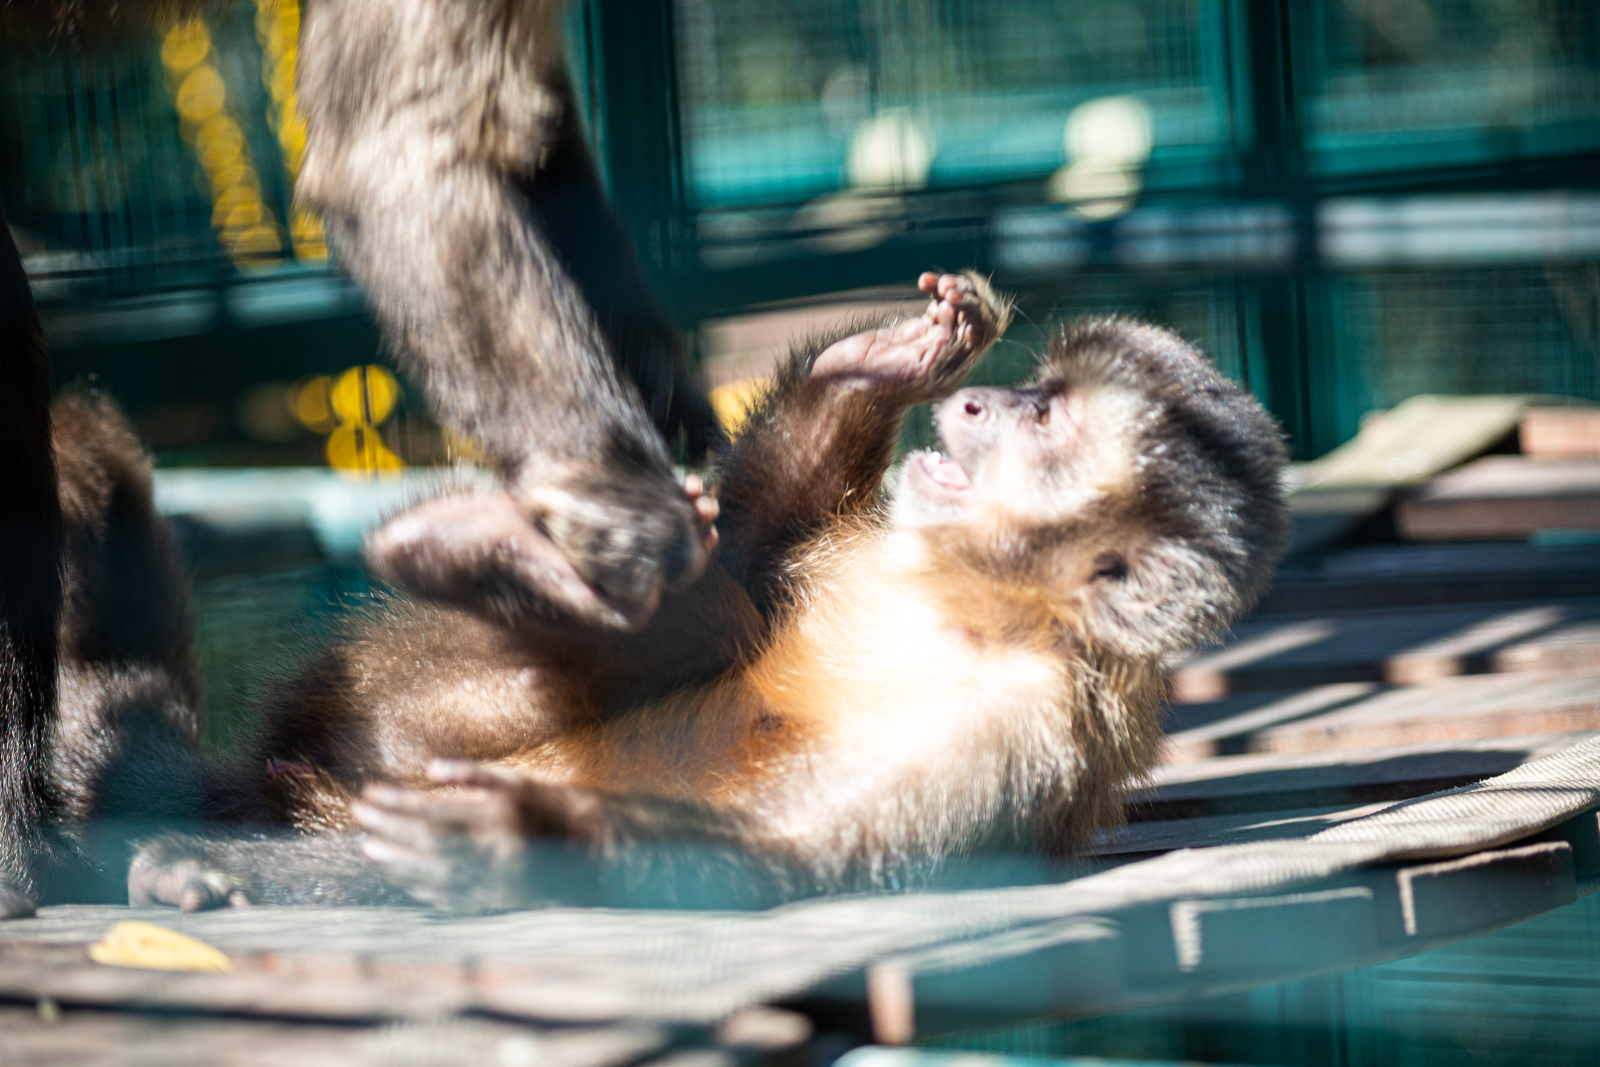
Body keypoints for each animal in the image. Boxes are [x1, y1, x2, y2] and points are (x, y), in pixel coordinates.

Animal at [128, 273, 1286, 908]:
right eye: (1029, 393)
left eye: (1041, 420)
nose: (976, 405)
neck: (974, 602)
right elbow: (749, 557)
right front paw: (881, 361)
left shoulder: (1033, 724)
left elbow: (787, 857)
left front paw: (526, 843)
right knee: (719, 608)